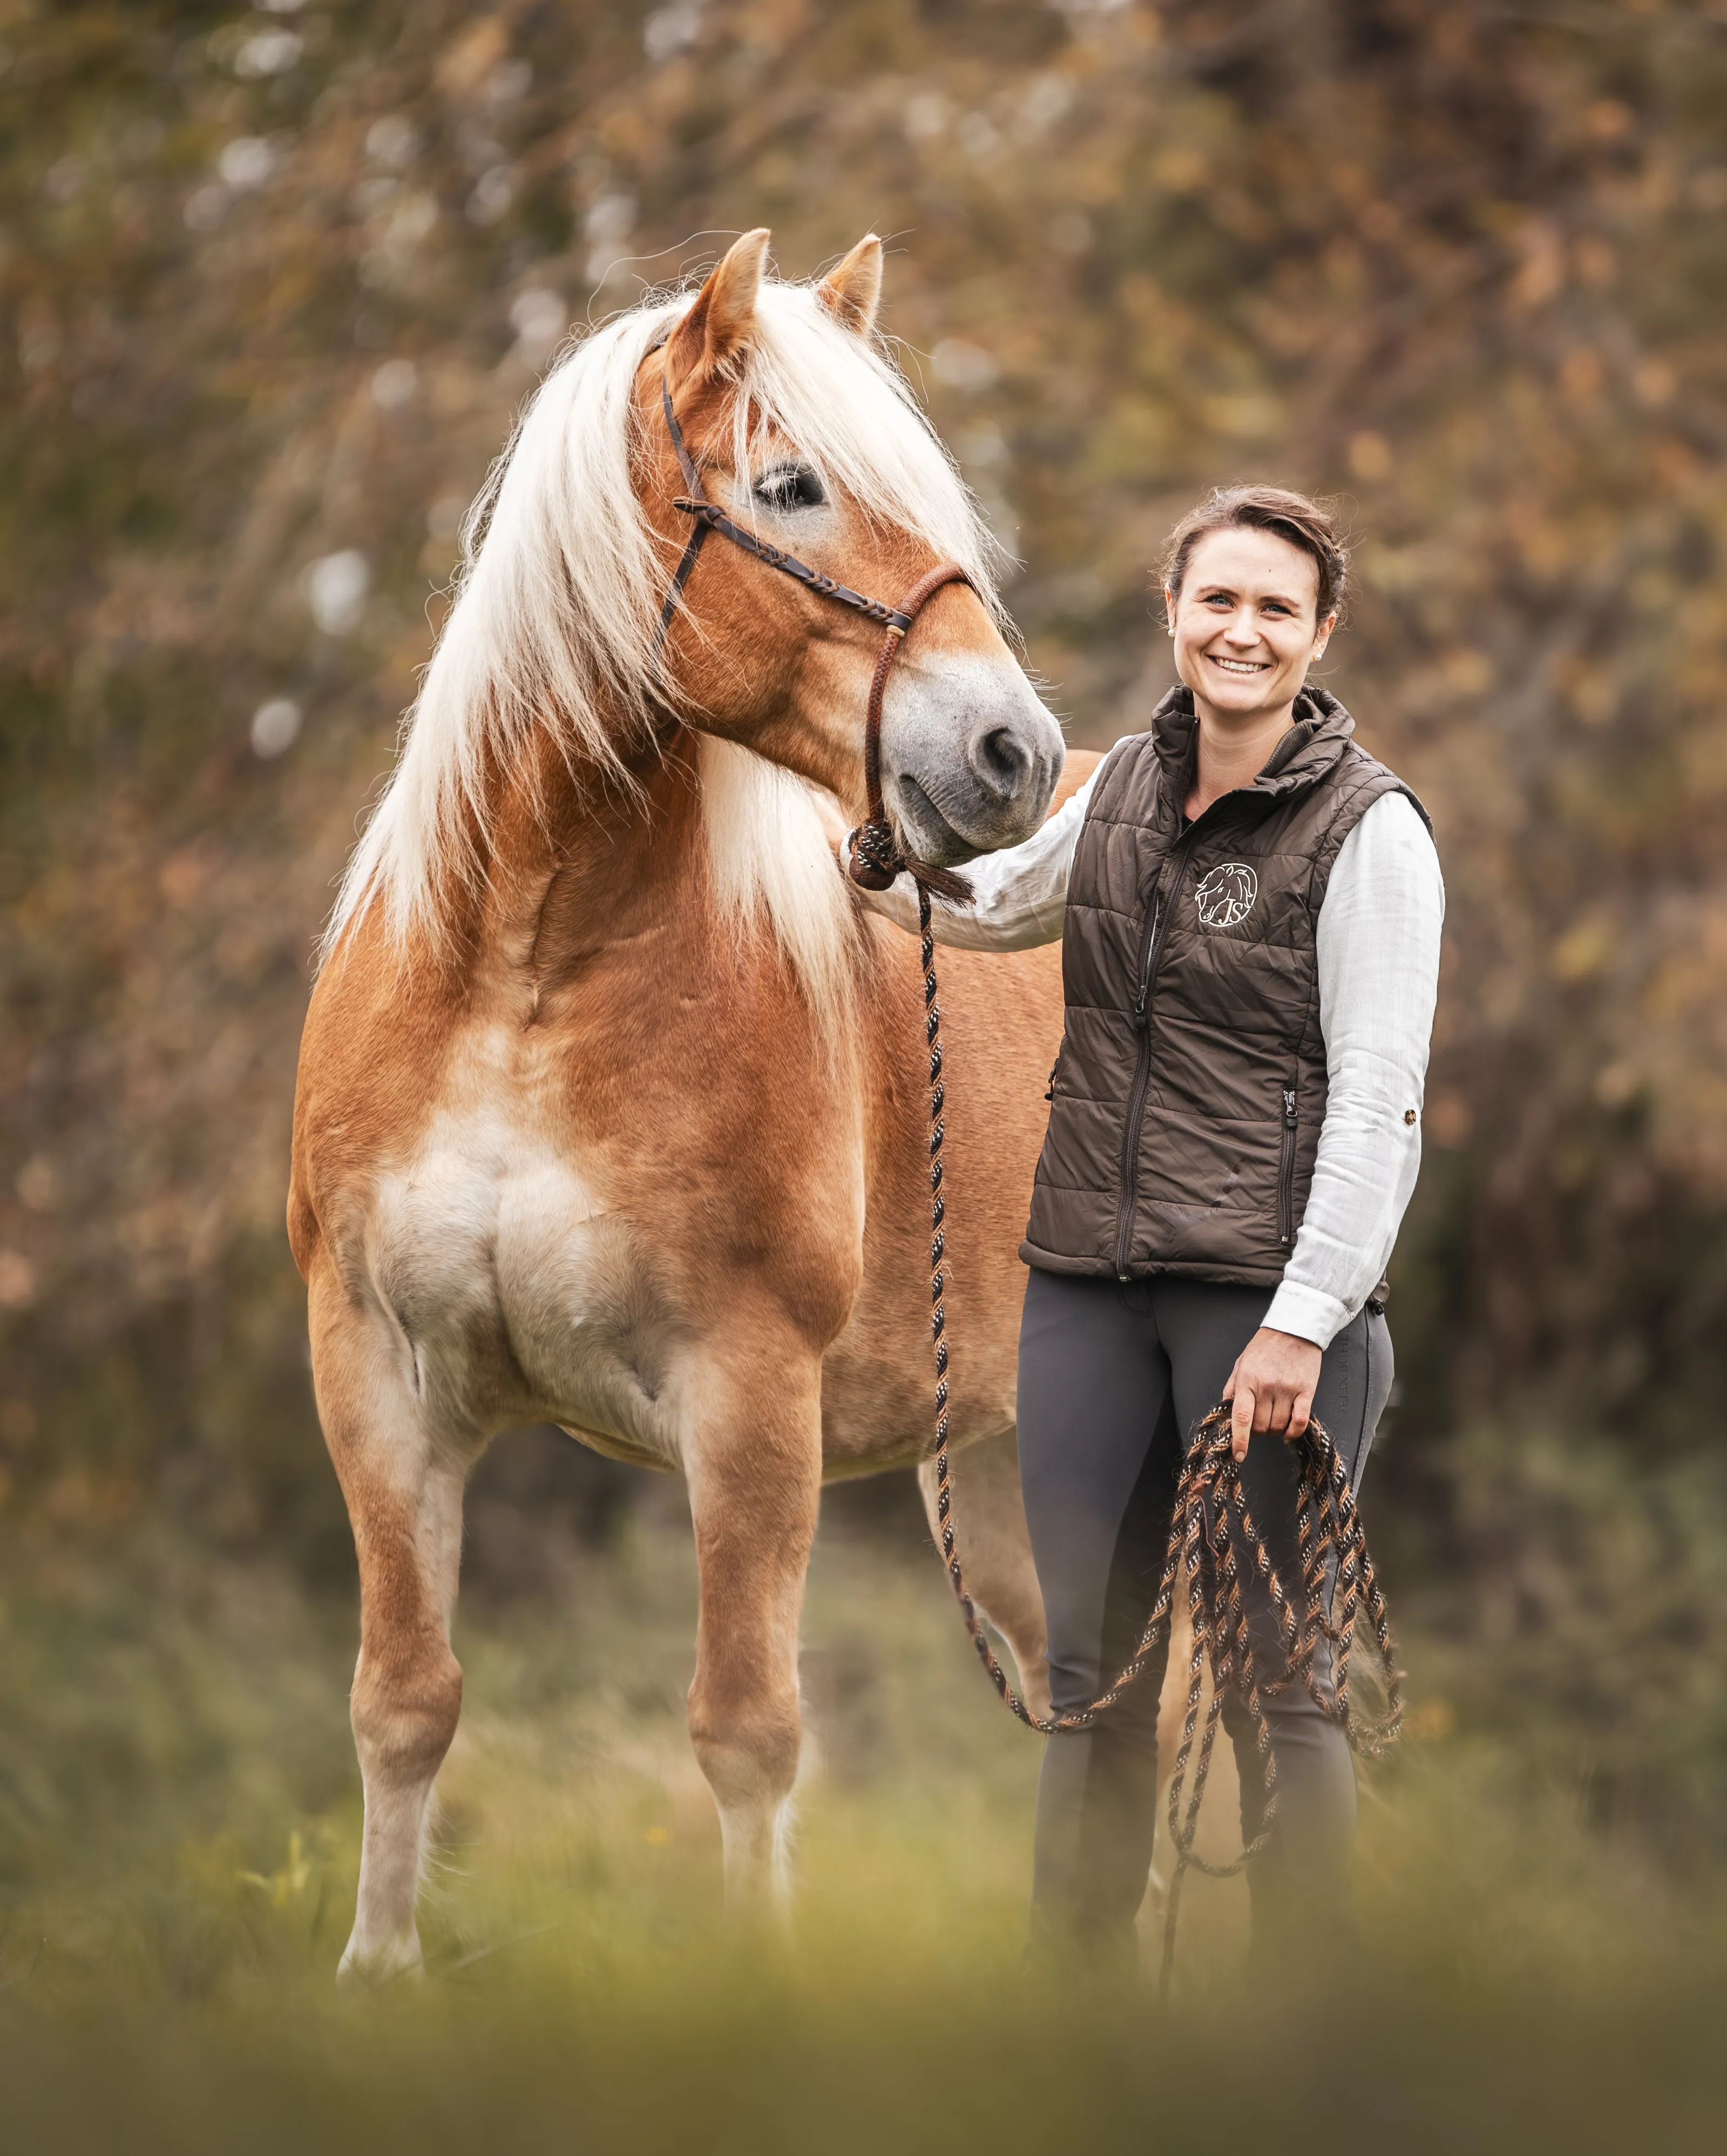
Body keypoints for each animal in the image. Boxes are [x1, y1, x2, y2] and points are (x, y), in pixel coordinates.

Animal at [290, 228, 1084, 1981]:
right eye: (788, 485)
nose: (1009, 752)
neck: (525, 977)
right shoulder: (375, 1372)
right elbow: (403, 1701)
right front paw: (376, 1978)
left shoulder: (748, 1395)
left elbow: (746, 1733)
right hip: (1001, 1466)